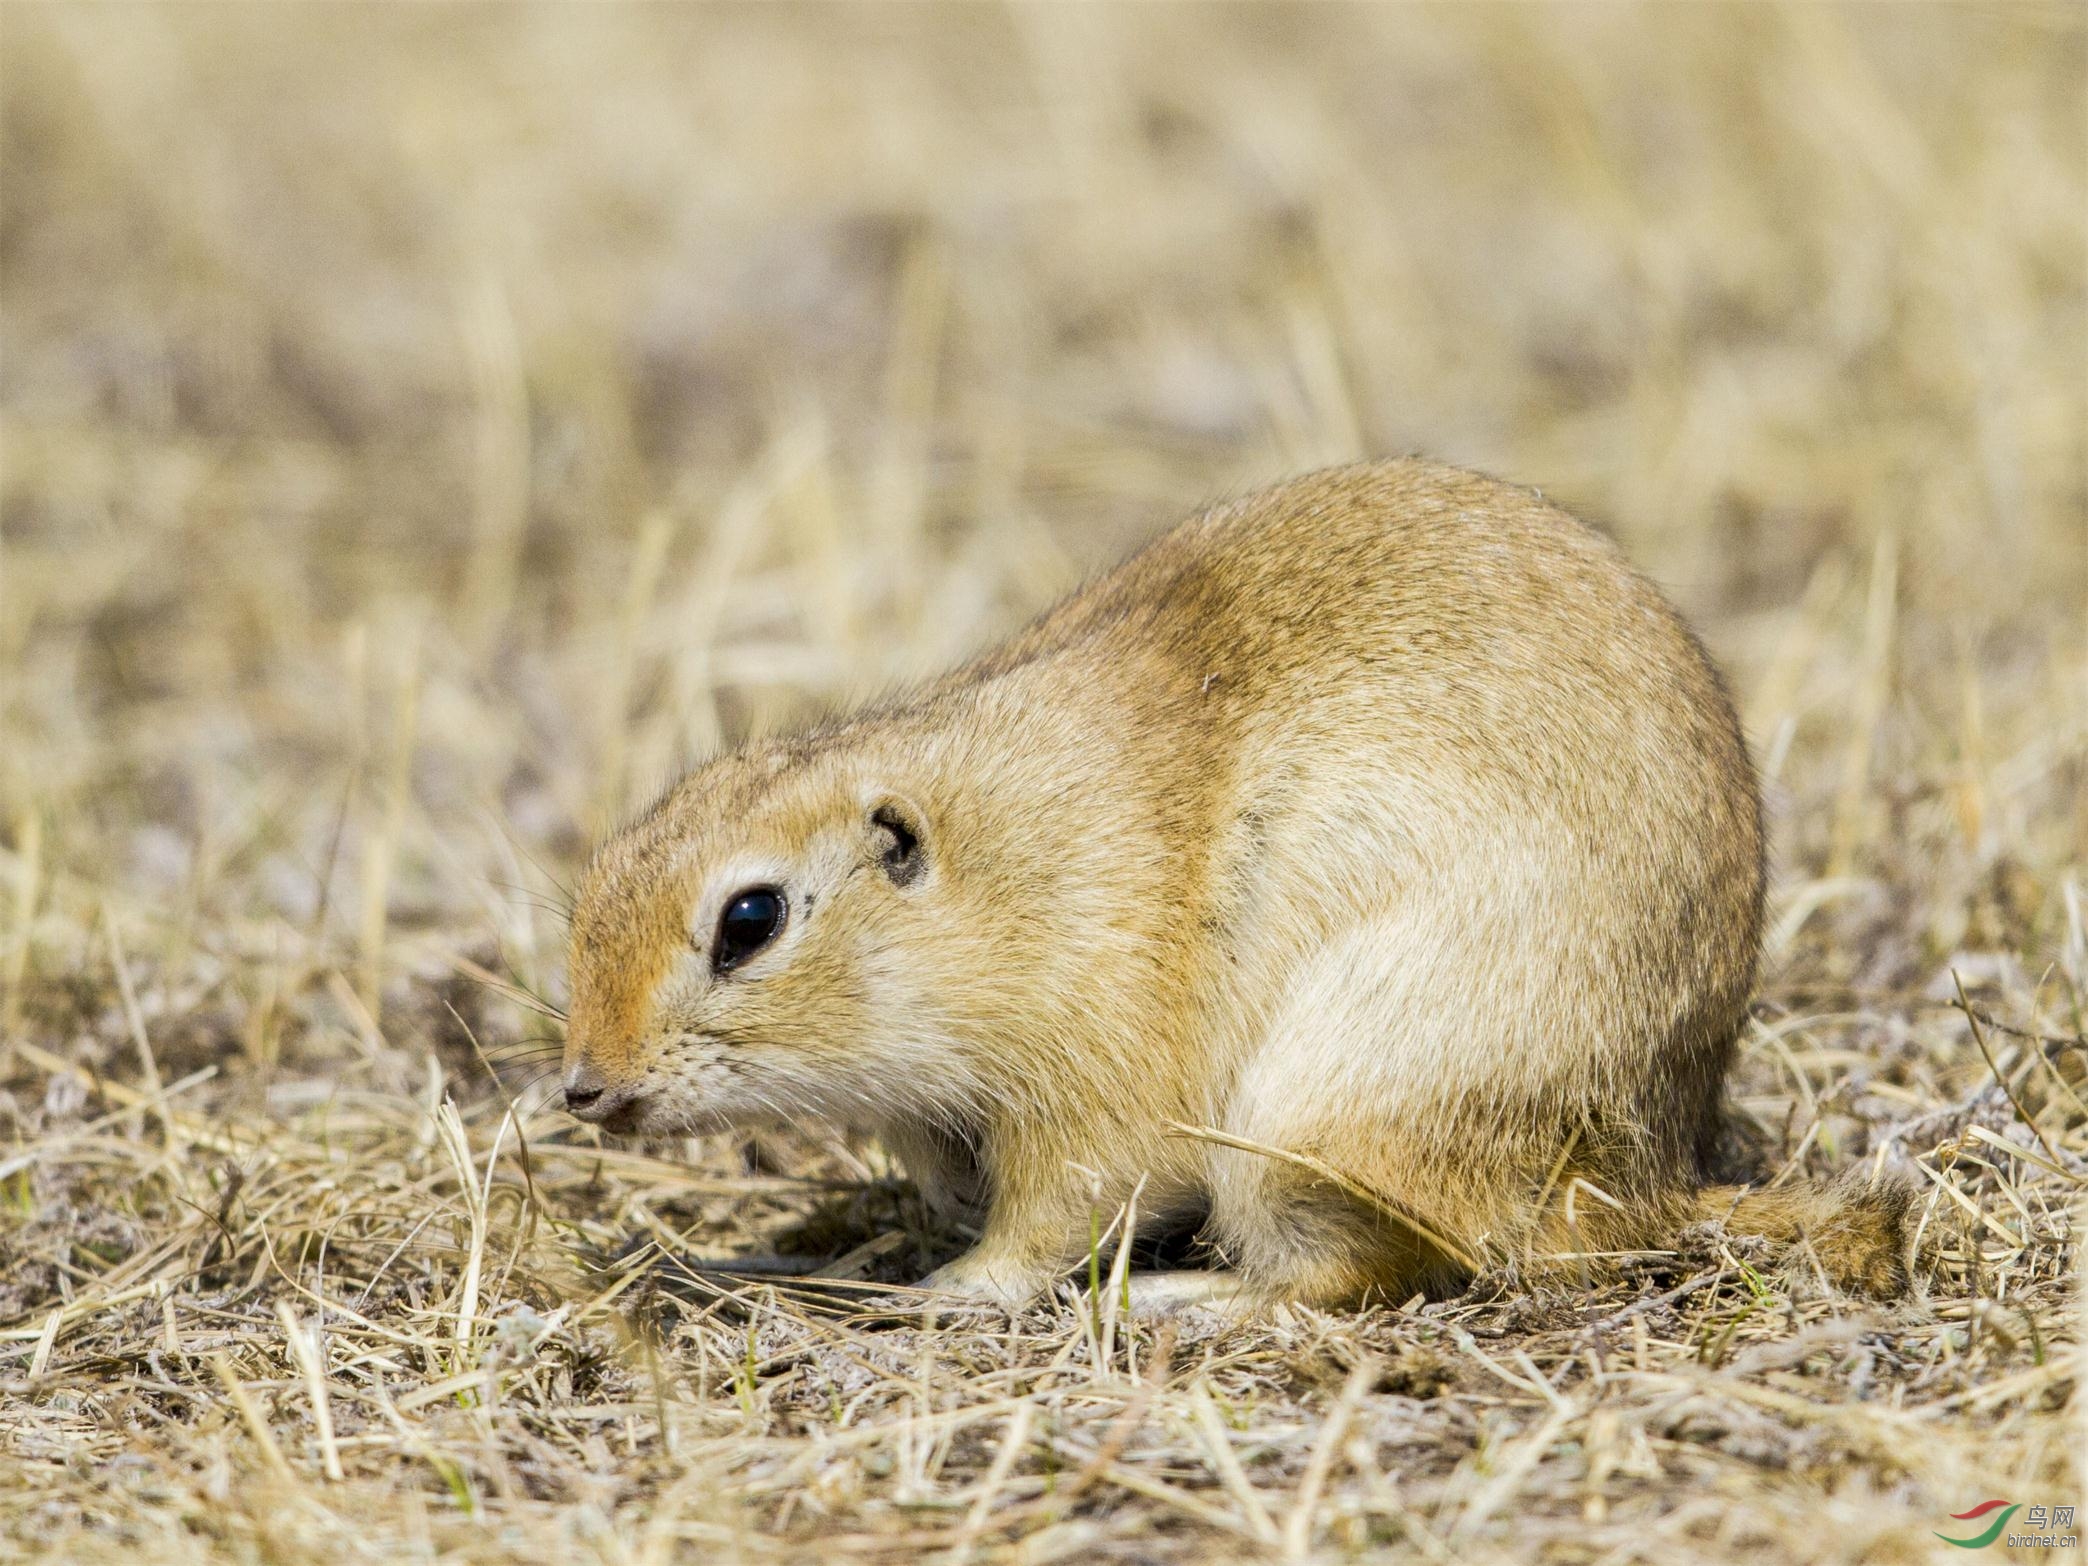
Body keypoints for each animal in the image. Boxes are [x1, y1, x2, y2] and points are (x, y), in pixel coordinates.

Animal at [555, 463, 1912, 1311]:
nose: (582, 1089)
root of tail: (1644, 1185)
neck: (1001, 870)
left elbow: (1058, 1212)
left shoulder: (1095, 1077)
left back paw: (1176, 1302)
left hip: (1307, 1117)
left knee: (1349, 1277)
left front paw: (947, 1292)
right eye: (598, 875)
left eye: (750, 919)